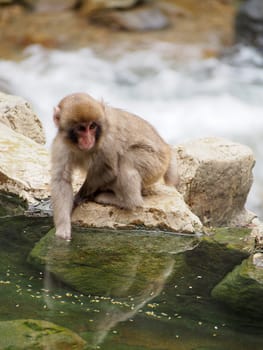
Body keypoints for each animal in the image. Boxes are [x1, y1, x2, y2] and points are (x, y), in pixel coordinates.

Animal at [50, 93, 178, 241]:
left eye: (92, 126)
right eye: (81, 128)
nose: (89, 140)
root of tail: (166, 149)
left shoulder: (107, 140)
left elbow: (108, 171)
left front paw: (78, 197)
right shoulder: (61, 145)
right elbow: (61, 180)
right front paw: (63, 228)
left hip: (155, 163)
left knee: (126, 160)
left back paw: (126, 201)